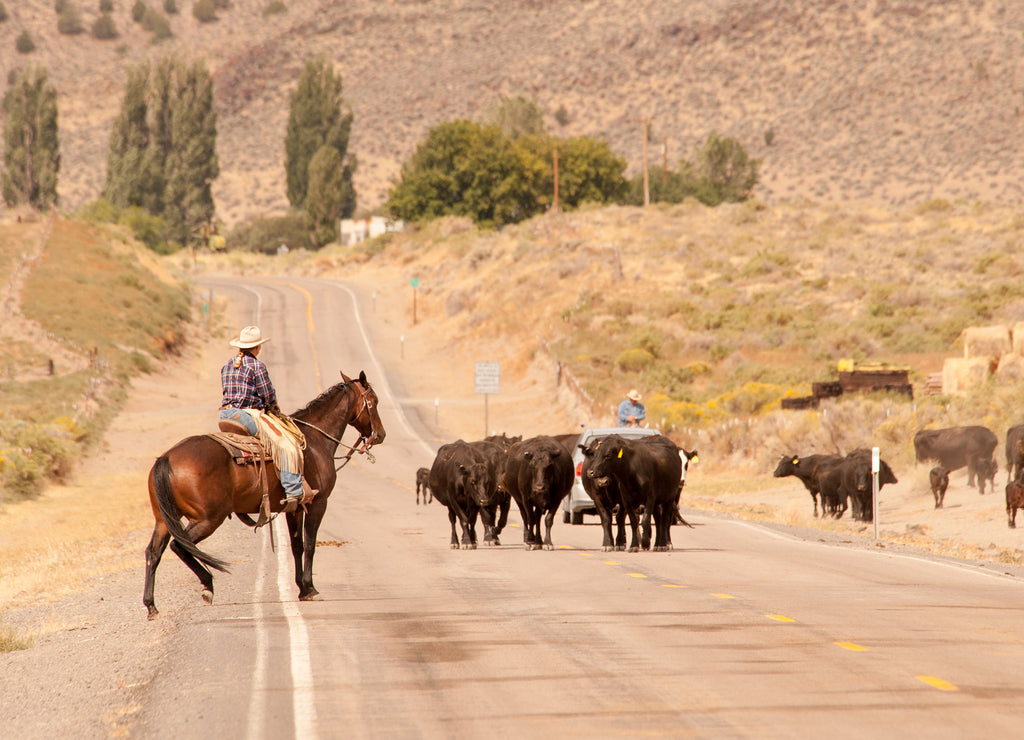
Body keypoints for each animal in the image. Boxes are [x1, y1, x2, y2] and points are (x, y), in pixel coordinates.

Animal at [141, 370, 385, 618]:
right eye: (374, 402)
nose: (380, 435)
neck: (315, 442)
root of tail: (166, 458)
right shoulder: (318, 503)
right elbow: (310, 544)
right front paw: (311, 588)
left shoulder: (293, 508)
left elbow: (297, 546)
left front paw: (302, 588)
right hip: (208, 519)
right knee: (179, 546)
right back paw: (207, 585)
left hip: (163, 520)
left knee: (154, 553)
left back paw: (152, 605)